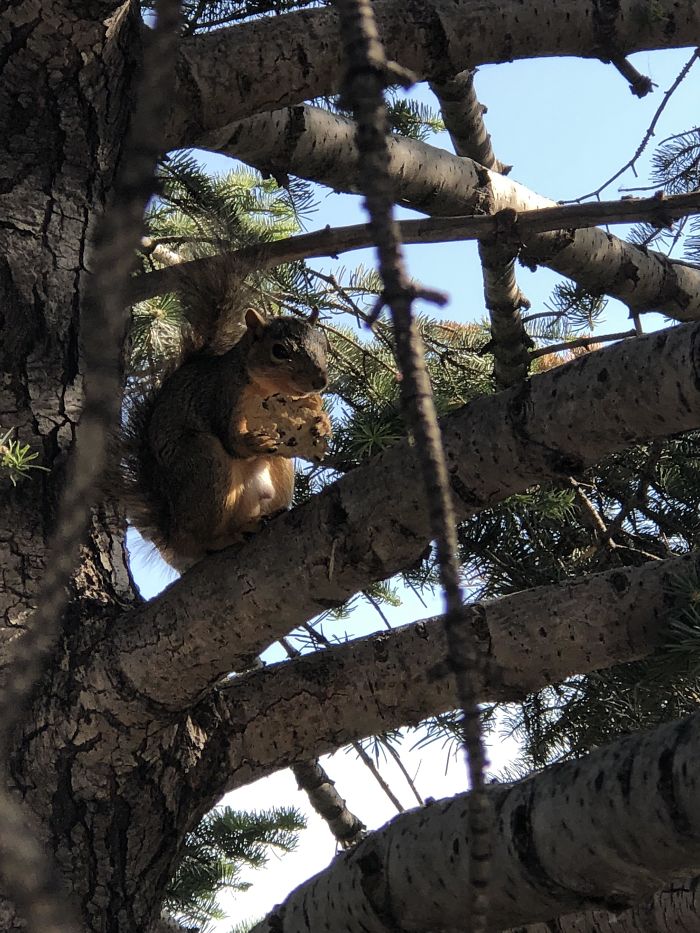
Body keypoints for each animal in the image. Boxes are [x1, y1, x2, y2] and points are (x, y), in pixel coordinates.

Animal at [121, 303, 331, 572]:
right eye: (280, 351)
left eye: (324, 344)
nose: (320, 381)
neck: (267, 391)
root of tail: (173, 537)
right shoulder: (222, 397)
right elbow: (232, 442)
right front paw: (254, 442)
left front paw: (323, 423)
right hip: (204, 461)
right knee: (201, 540)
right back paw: (223, 538)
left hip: (277, 468)